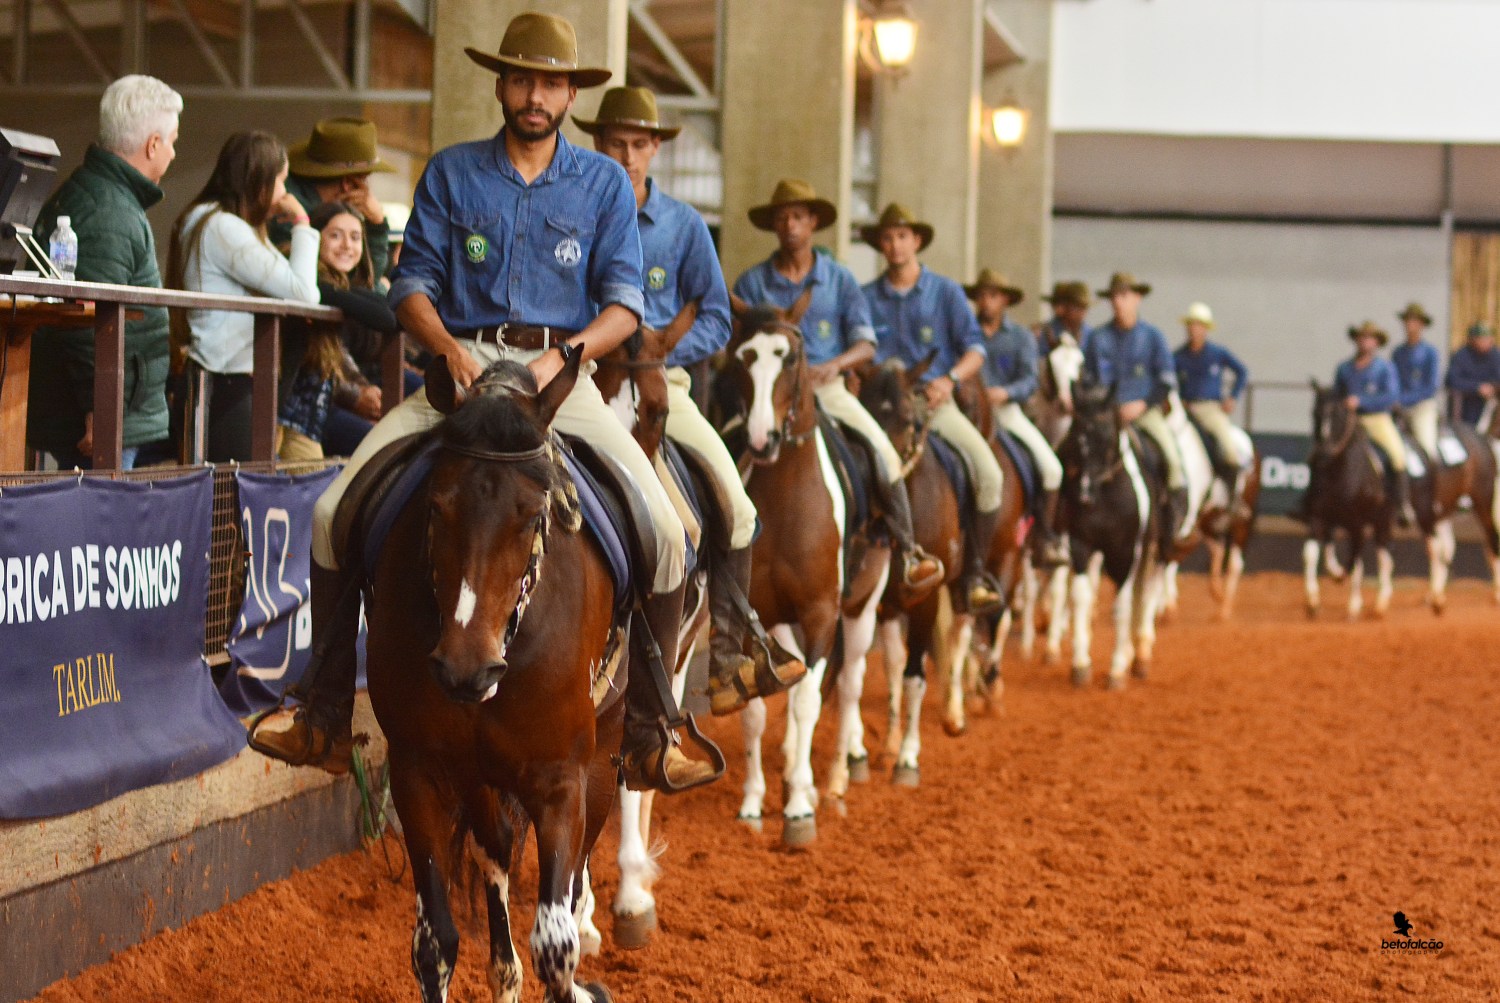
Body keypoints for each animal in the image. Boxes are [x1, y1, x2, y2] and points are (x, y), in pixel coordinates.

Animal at [360, 352, 618, 1001]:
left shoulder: (561, 778)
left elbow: (555, 944)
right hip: (477, 776)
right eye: (435, 506)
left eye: (534, 514)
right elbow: (434, 942)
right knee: (495, 850)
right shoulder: (419, 770)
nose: (464, 669)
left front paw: (580, 981)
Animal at [1050, 383, 1164, 689]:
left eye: (1106, 438)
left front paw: (1116, 670)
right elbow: (1081, 597)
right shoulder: (1080, 545)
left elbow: (1121, 607)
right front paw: (1080, 664)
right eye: (1076, 436)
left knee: (1142, 595)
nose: (1085, 495)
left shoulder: (1126, 554)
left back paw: (1137, 657)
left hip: (1148, 551)